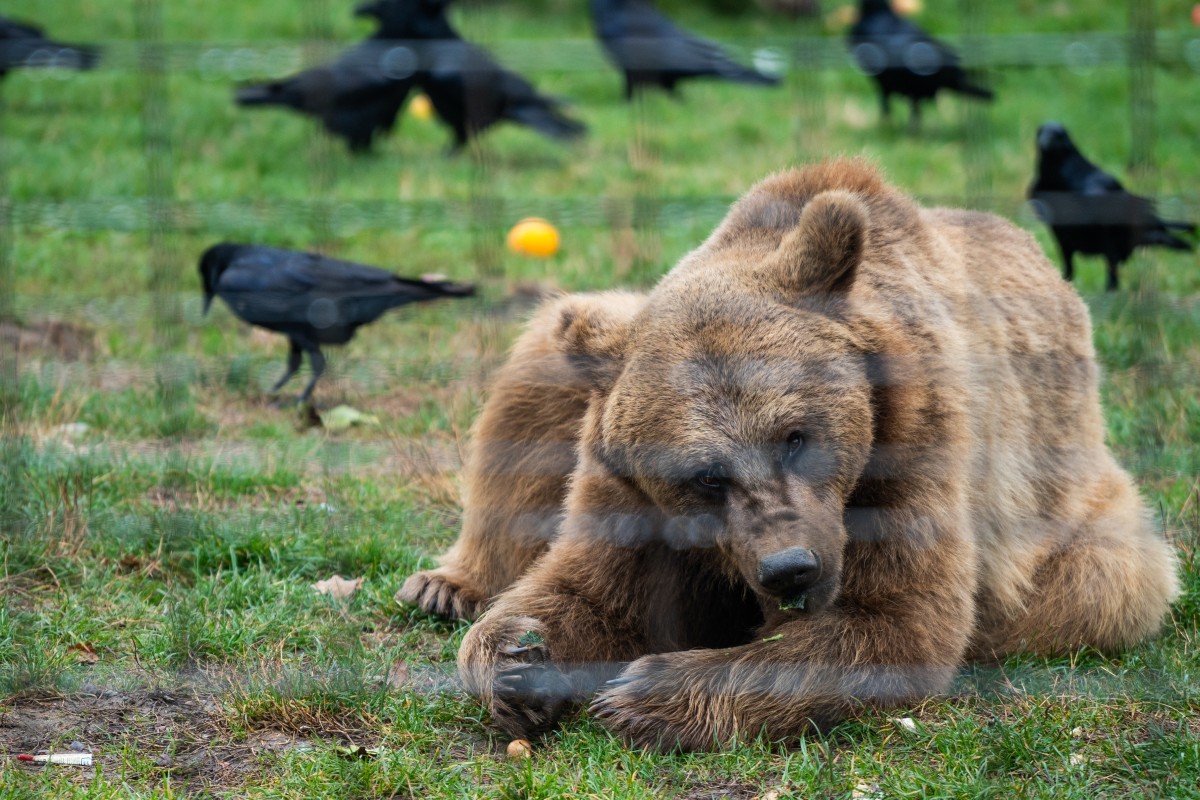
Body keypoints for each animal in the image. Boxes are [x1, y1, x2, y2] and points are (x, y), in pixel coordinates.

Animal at [397, 159, 1179, 752]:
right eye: (704, 476)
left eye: (796, 436)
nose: (789, 567)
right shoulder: (630, 491)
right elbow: (586, 589)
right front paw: (518, 660)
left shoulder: (914, 450)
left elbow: (894, 623)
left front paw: (643, 695)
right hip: (582, 341)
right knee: (530, 382)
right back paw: (447, 583)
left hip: (1066, 510)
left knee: (1100, 583)